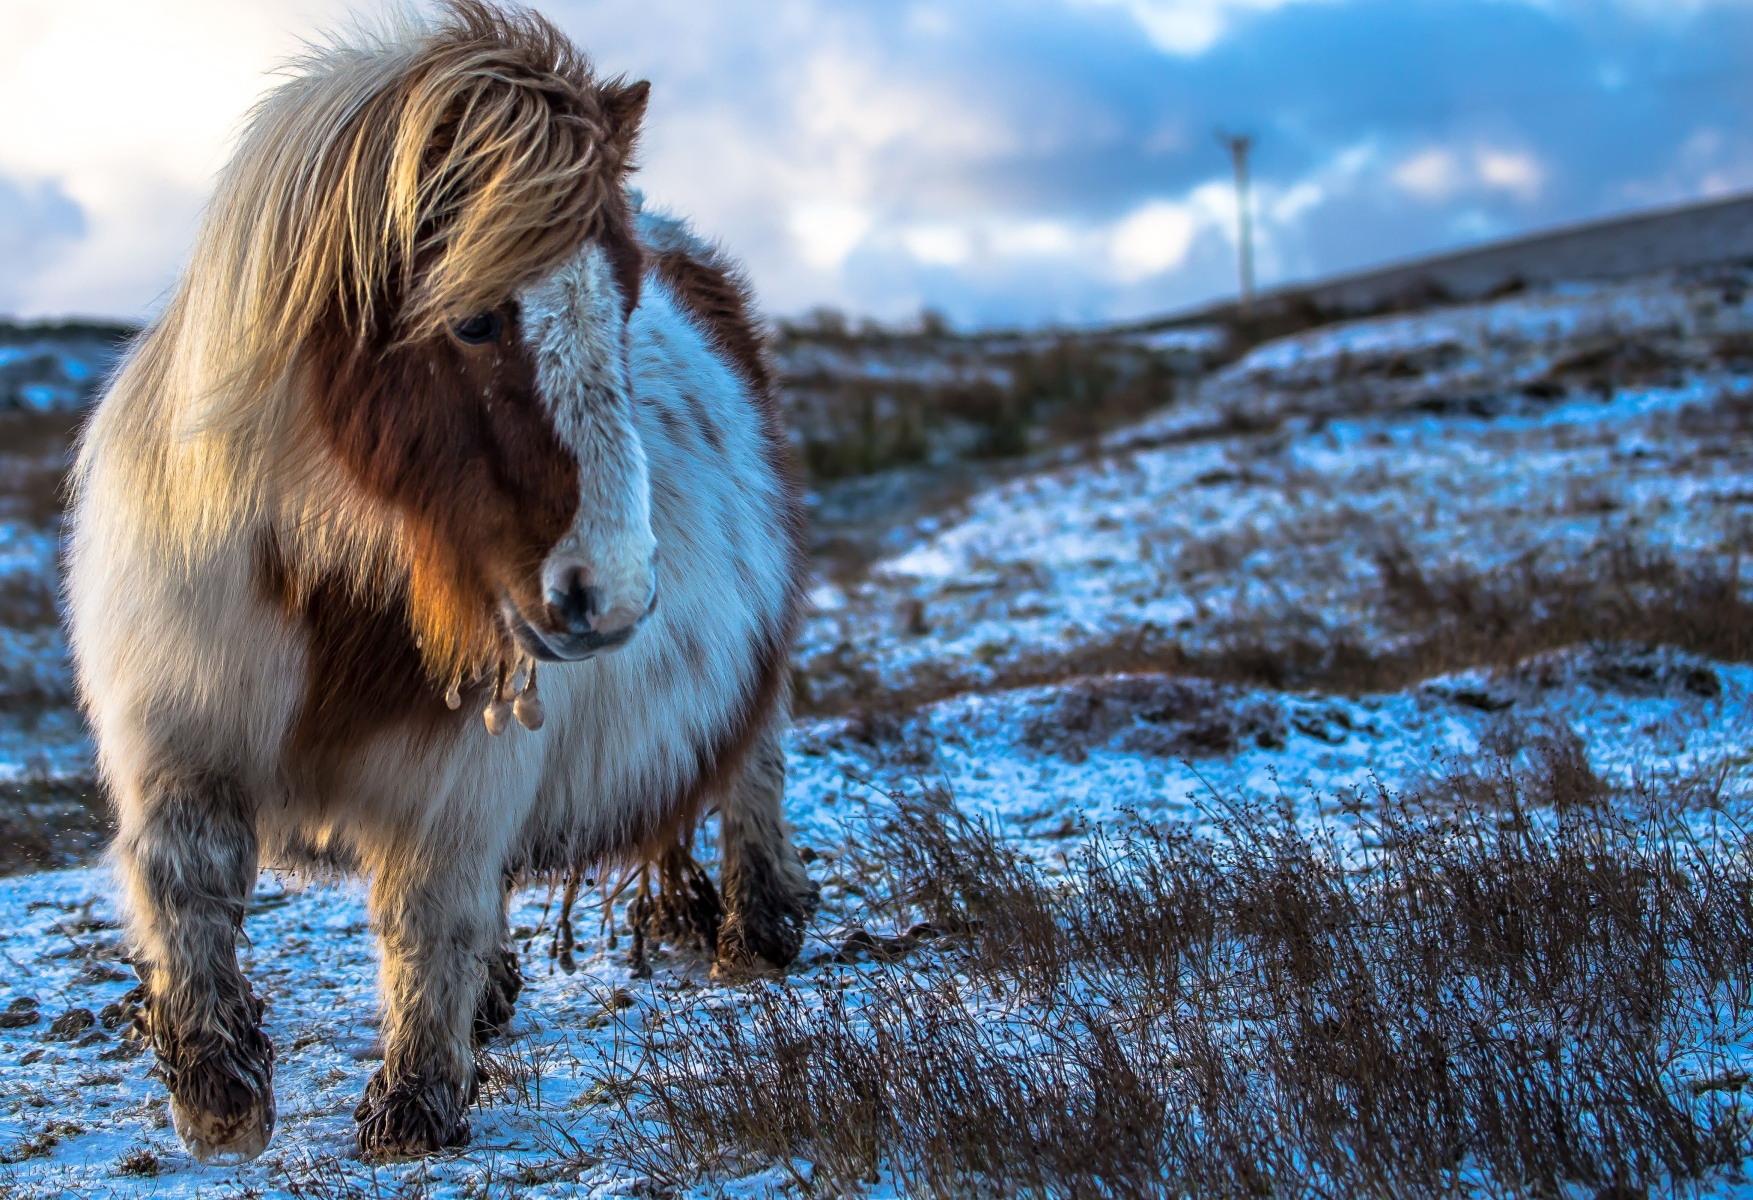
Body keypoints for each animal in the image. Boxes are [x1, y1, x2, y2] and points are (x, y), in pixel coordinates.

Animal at [65, 0, 817, 1164]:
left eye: (626, 306)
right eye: (471, 319)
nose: (614, 595)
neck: (326, 587)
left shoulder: (457, 781)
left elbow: (427, 915)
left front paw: (412, 1109)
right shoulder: (176, 733)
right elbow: (184, 880)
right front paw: (220, 1094)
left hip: (751, 685)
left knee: (756, 768)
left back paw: (757, 929)